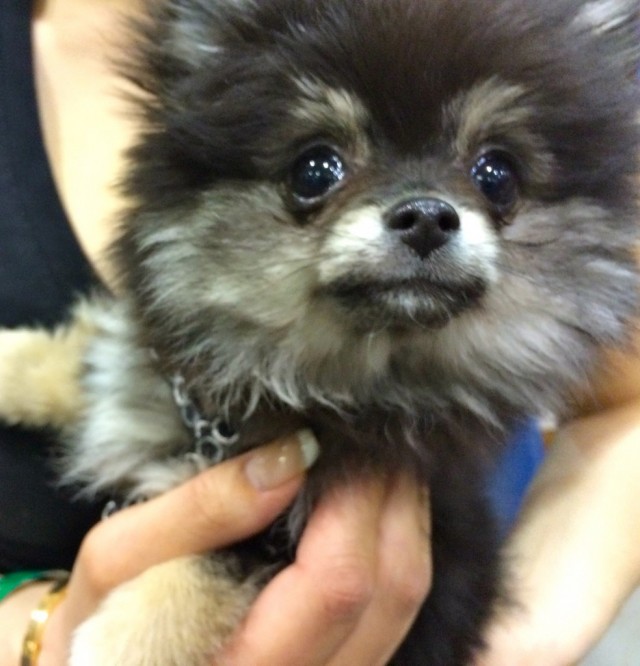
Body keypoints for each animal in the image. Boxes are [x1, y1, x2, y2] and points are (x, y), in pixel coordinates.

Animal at [1, 1, 640, 664]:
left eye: (496, 174)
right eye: (315, 168)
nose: (427, 215)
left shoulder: (291, 527)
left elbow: (206, 560)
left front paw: (125, 640)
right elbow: (89, 357)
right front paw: (12, 363)